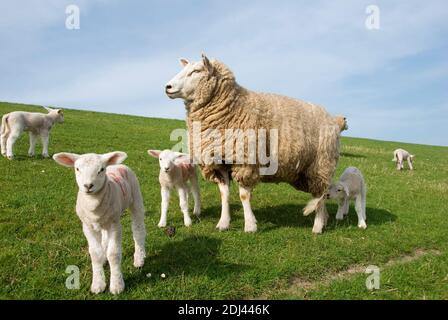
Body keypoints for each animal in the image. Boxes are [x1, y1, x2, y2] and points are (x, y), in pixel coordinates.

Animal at [53, 151, 145, 294]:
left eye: (101, 170)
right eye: (77, 169)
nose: (88, 186)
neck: (93, 205)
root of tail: (118, 165)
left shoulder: (115, 225)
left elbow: (113, 254)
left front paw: (117, 285)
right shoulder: (87, 226)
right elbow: (95, 254)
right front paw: (98, 284)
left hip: (136, 198)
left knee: (138, 229)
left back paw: (139, 258)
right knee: (105, 237)